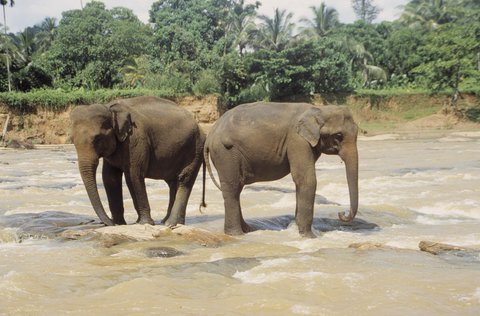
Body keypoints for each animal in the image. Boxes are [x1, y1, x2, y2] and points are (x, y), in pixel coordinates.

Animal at [70, 96, 205, 227]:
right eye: (72, 140)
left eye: (97, 138)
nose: (109, 223)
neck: (110, 108)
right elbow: (110, 178)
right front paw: (119, 224)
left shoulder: (136, 140)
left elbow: (133, 176)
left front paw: (144, 223)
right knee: (173, 182)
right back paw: (166, 221)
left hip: (195, 149)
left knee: (184, 179)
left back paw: (171, 224)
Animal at [204, 102, 358, 238]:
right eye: (338, 136)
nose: (341, 213)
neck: (318, 109)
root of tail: (210, 134)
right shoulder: (297, 140)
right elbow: (306, 179)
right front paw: (309, 237)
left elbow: (300, 180)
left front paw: (297, 229)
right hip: (225, 153)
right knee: (232, 188)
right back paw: (237, 234)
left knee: (237, 189)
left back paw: (247, 230)